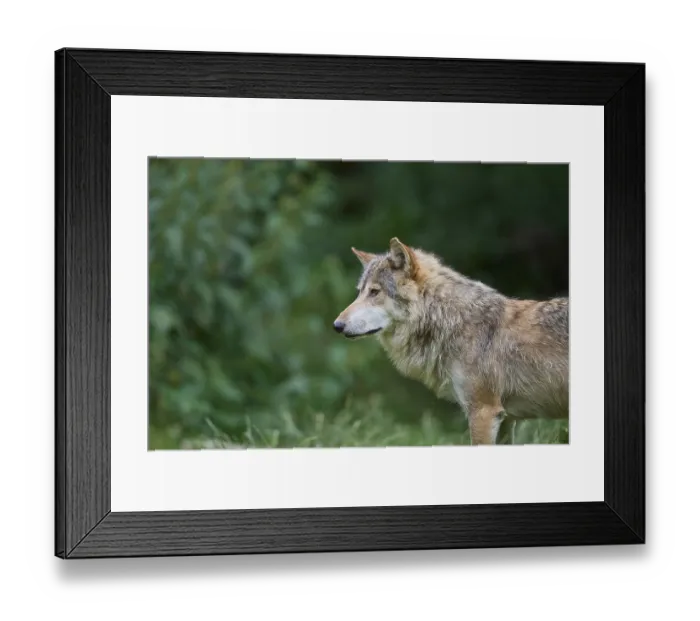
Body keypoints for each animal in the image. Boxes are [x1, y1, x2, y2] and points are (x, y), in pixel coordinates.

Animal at [333, 238, 569, 445]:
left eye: (374, 292)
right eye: (360, 292)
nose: (337, 325)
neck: (452, 321)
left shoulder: (483, 412)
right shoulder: (506, 419)